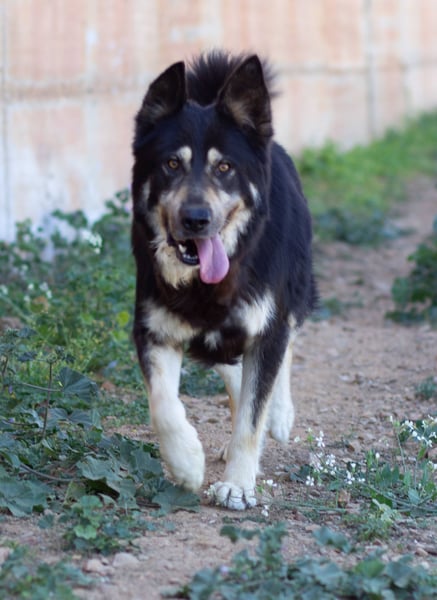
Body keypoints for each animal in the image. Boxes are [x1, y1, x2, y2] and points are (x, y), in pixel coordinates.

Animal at [131, 51, 317, 510]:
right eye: (171, 163)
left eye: (225, 167)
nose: (196, 219)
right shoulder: (154, 330)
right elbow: (162, 404)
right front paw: (185, 462)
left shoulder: (266, 324)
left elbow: (253, 414)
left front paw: (237, 484)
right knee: (232, 371)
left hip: (296, 291)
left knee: (285, 344)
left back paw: (280, 415)